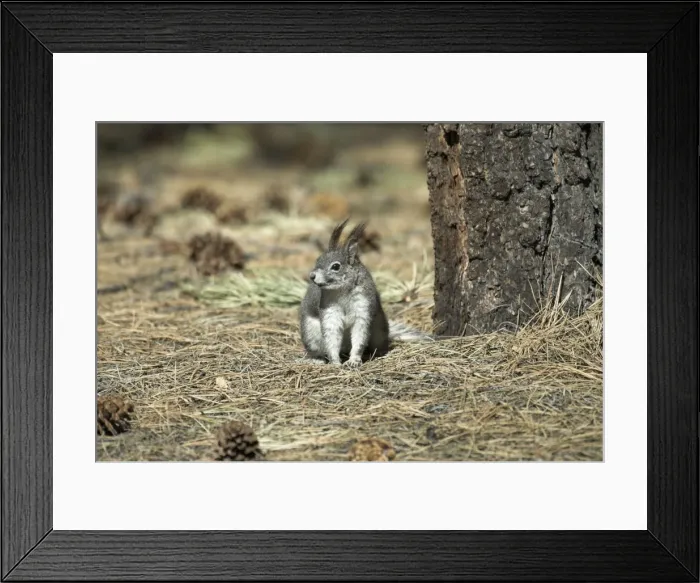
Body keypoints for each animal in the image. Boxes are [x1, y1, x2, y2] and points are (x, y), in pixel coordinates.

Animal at [299, 219, 432, 367]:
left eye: (336, 266)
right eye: (317, 260)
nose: (312, 276)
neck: (341, 290)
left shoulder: (362, 307)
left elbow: (359, 336)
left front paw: (354, 360)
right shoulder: (330, 310)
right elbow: (332, 336)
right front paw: (335, 362)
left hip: (379, 329)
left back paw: (379, 353)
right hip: (310, 333)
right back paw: (316, 359)